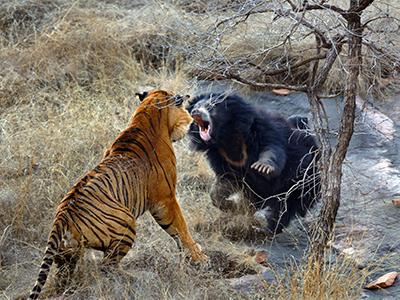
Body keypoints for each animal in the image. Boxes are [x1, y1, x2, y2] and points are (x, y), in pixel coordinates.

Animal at [27, 89, 206, 300]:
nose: (191, 118)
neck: (145, 116)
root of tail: (61, 216)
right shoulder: (165, 199)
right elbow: (180, 228)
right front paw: (198, 257)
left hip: (67, 254)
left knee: (65, 277)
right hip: (126, 223)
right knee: (107, 266)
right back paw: (135, 277)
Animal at [186, 92, 320, 236]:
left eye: (210, 106)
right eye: (196, 106)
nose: (195, 112)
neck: (226, 136)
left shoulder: (262, 129)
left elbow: (272, 148)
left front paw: (263, 167)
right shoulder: (221, 156)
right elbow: (224, 182)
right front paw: (232, 206)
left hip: (302, 181)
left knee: (285, 208)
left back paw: (266, 228)